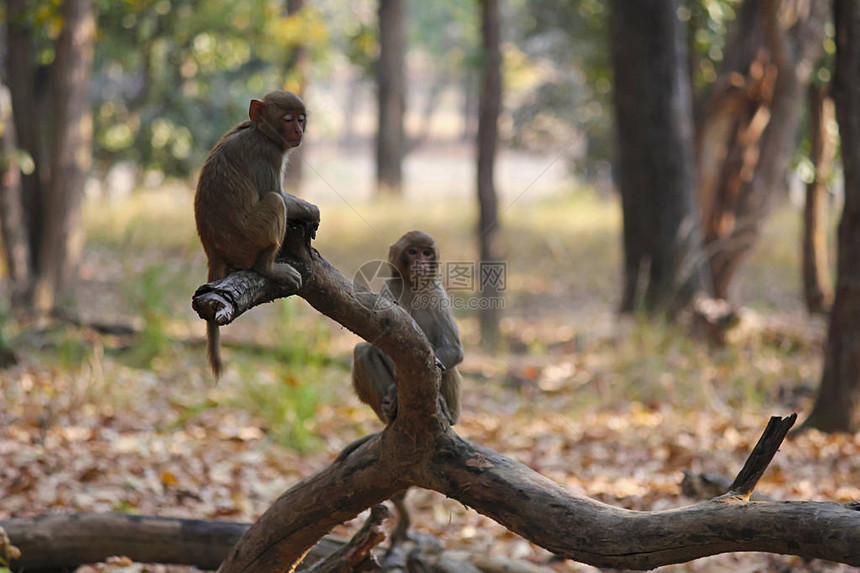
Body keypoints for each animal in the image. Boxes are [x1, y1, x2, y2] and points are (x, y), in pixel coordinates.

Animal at [195, 90, 322, 380]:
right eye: (287, 119)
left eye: (301, 118)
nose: (298, 130)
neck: (261, 131)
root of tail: (213, 251)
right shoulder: (268, 154)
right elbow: (278, 196)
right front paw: (310, 210)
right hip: (247, 239)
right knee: (275, 202)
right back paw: (267, 267)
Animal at [350, 230, 464, 540]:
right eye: (412, 252)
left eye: (427, 252)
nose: (421, 264)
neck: (414, 288)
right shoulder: (389, 292)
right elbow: (379, 343)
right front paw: (391, 396)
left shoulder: (438, 295)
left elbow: (453, 350)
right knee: (362, 351)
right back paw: (391, 411)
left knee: (445, 368)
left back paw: (443, 410)